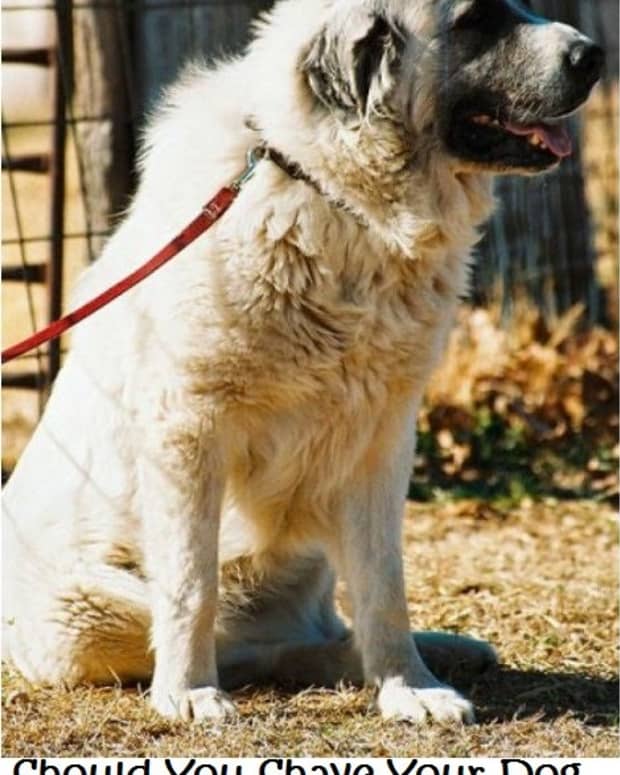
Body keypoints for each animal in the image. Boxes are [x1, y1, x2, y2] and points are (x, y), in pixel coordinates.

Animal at [3, 1, 600, 728]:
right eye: (474, 20)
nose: (594, 55)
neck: (328, 190)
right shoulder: (187, 430)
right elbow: (192, 583)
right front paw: (188, 691)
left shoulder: (381, 438)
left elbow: (383, 586)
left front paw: (408, 685)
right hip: (85, 610)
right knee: (237, 641)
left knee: (314, 631)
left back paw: (433, 653)